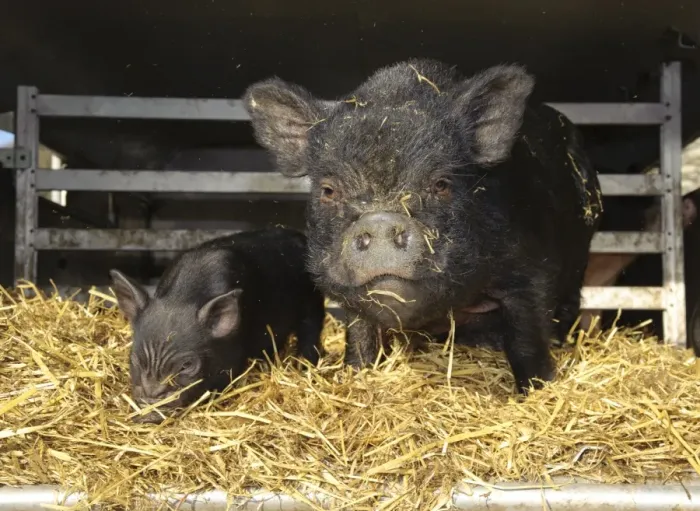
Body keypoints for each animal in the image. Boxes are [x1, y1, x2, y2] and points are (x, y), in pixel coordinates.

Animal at [109, 227, 326, 422]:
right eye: (135, 359)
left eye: (187, 365)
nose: (149, 411)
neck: (182, 298)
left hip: (312, 302)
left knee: (311, 330)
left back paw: (305, 365)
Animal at [243, 59, 603, 394]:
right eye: (328, 190)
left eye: (441, 183)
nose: (380, 221)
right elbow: (360, 338)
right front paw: (357, 373)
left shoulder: (531, 271)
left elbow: (527, 341)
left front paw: (536, 389)